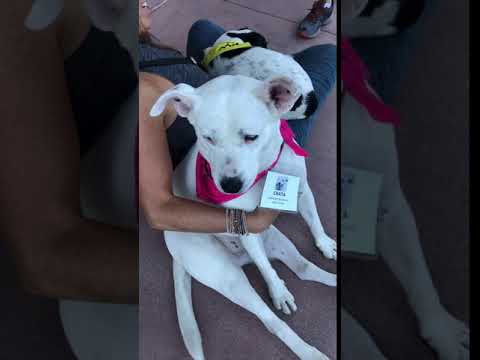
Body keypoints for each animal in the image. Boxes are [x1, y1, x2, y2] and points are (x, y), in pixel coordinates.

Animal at [151, 74, 338, 360]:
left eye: (252, 137)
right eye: (207, 138)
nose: (229, 186)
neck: (267, 170)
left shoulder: (302, 189)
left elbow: (314, 219)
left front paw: (324, 243)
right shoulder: (248, 225)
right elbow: (267, 269)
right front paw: (279, 290)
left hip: (279, 243)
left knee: (304, 270)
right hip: (230, 279)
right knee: (271, 320)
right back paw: (308, 350)